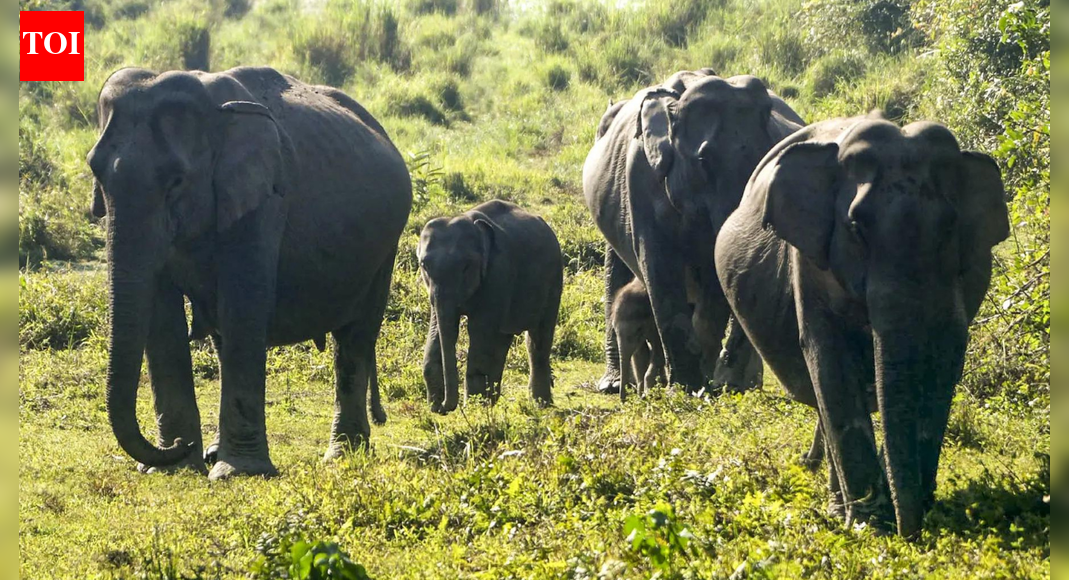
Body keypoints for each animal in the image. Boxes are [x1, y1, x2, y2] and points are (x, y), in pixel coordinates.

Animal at [86, 66, 412, 480]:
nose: (178, 447)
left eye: (176, 182)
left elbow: (243, 303)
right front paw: (177, 467)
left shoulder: (264, 196)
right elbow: (161, 317)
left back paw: (342, 454)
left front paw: (235, 472)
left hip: (385, 247)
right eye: (95, 171)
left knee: (355, 337)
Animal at [418, 199, 563, 414]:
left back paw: (541, 405)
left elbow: (480, 331)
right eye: (424, 265)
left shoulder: (498, 273)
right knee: (504, 338)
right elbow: (441, 328)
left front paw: (476, 409)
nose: (441, 406)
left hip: (554, 279)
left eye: (466, 267)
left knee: (538, 339)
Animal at [583, 70, 804, 394]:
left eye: (766, 159)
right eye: (703, 160)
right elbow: (659, 268)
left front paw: (700, 382)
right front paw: (684, 387)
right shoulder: (640, 180)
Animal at [715, 114, 1009, 537]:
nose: (912, 532)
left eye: (949, 227)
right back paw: (841, 507)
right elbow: (829, 363)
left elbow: (945, 360)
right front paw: (871, 526)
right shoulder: (810, 265)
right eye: (855, 227)